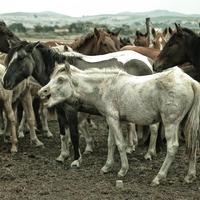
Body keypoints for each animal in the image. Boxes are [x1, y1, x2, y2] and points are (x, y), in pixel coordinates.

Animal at [2, 41, 153, 167]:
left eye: (20, 58)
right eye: (9, 59)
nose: (5, 82)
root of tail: (147, 62)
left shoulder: (71, 110)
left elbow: (74, 134)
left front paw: (76, 159)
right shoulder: (60, 110)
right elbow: (64, 133)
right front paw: (63, 155)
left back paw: (148, 152)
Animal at [38, 64, 200, 186]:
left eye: (60, 79)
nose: (42, 91)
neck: (105, 86)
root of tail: (190, 81)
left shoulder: (113, 119)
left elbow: (120, 144)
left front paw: (123, 170)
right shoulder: (111, 119)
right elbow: (111, 143)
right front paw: (107, 167)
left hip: (170, 123)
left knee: (172, 147)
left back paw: (158, 177)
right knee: (193, 145)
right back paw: (189, 176)